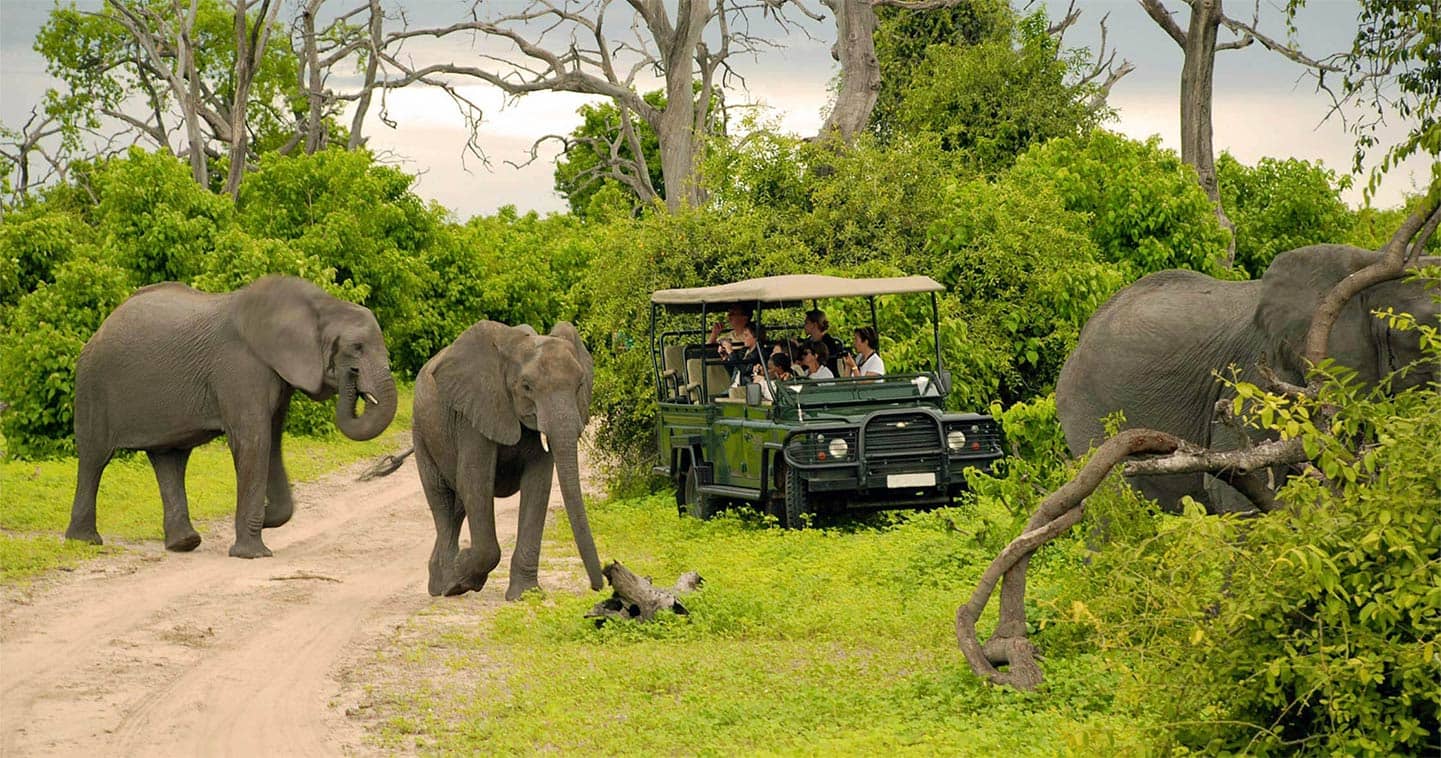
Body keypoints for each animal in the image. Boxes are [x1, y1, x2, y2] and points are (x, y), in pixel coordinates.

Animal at [65, 278, 397, 559]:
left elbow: (272, 441)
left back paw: (184, 544)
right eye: (356, 348)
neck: (321, 304)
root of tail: (100, 328)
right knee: (94, 457)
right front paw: (253, 553)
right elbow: (254, 441)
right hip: (93, 385)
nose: (351, 377)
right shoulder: (240, 367)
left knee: (170, 459)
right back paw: (85, 541)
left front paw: (266, 519)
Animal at [412, 319, 602, 599]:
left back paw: (441, 580)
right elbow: (475, 480)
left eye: (579, 385)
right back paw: (446, 586)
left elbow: (538, 485)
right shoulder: (474, 412)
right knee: (442, 499)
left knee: (458, 505)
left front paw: (524, 595)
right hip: (422, 432)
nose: (598, 586)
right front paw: (463, 576)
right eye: (526, 387)